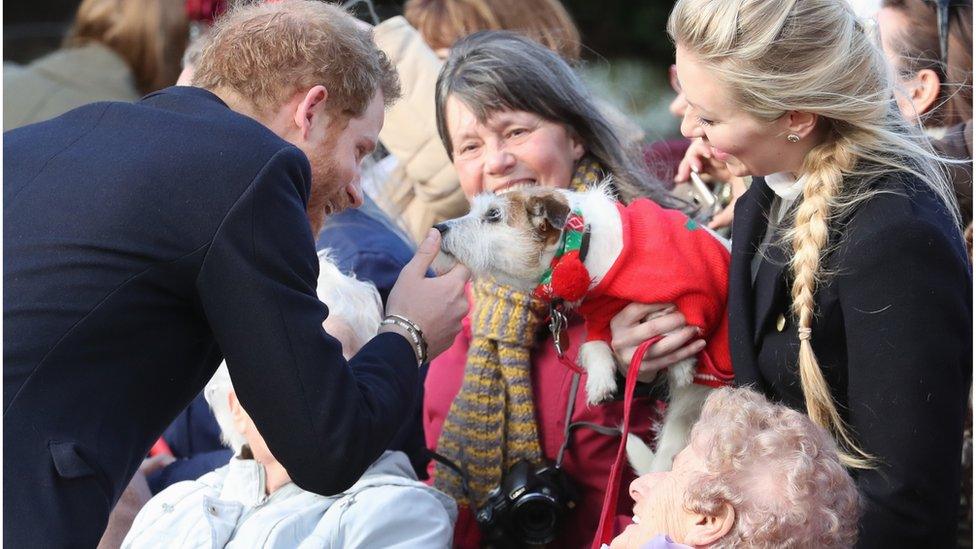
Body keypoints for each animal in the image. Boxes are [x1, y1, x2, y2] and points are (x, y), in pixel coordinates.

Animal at [434, 184, 732, 470]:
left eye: (494, 214)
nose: (439, 228)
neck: (577, 251)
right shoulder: (600, 318)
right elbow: (595, 345)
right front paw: (600, 382)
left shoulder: (687, 289)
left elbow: (675, 320)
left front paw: (681, 366)